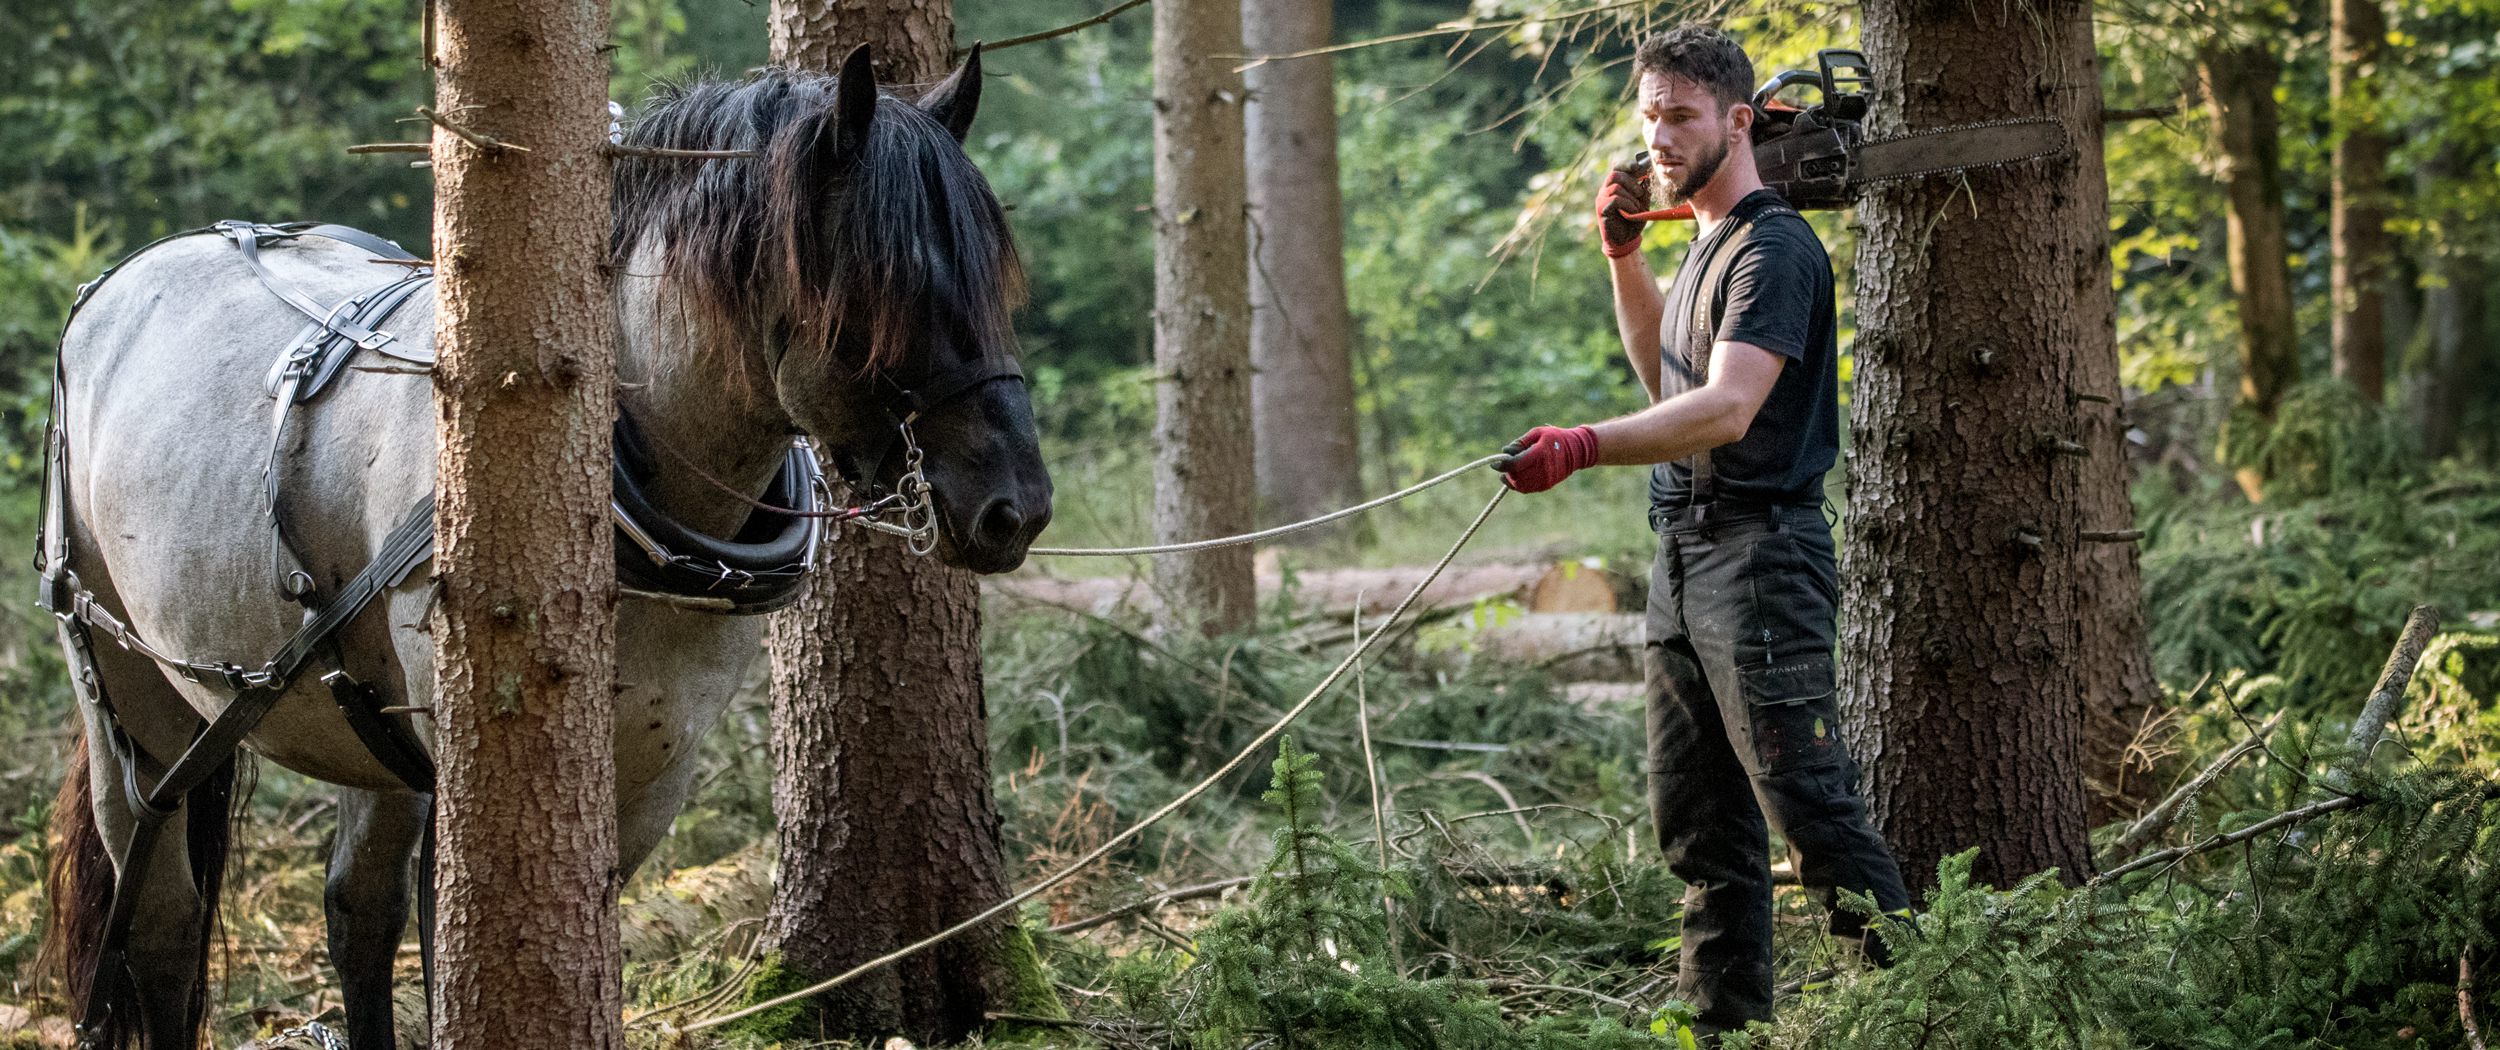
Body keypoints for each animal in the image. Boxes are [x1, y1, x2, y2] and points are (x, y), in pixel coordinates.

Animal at [48, 45, 1050, 1045]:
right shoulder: (468, 770)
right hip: (124, 687)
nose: (1018, 510)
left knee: (355, 914)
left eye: (994, 283)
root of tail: (128, 277)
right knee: (164, 919)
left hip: (358, 721)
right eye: (887, 285)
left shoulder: (650, 775)